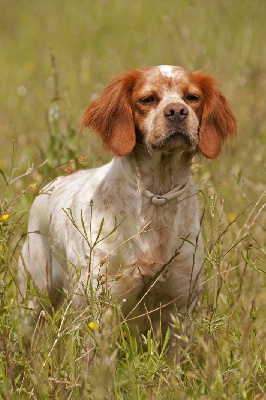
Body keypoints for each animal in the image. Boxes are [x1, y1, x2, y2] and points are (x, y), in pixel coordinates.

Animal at [17, 65, 236, 346]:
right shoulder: (100, 306)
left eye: (192, 97)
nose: (177, 111)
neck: (157, 196)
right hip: (36, 297)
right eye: (148, 99)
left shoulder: (179, 308)